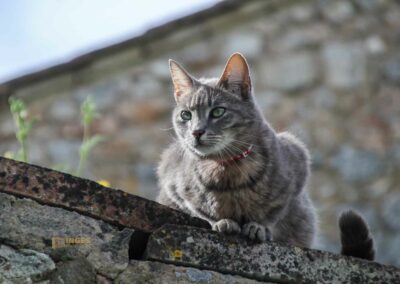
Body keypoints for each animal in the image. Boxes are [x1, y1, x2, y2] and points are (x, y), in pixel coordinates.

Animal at [157, 52, 376, 258]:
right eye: (186, 115)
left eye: (218, 111)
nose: (196, 131)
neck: (227, 168)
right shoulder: (173, 180)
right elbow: (200, 210)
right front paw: (222, 222)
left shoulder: (297, 163)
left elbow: (275, 211)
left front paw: (259, 226)